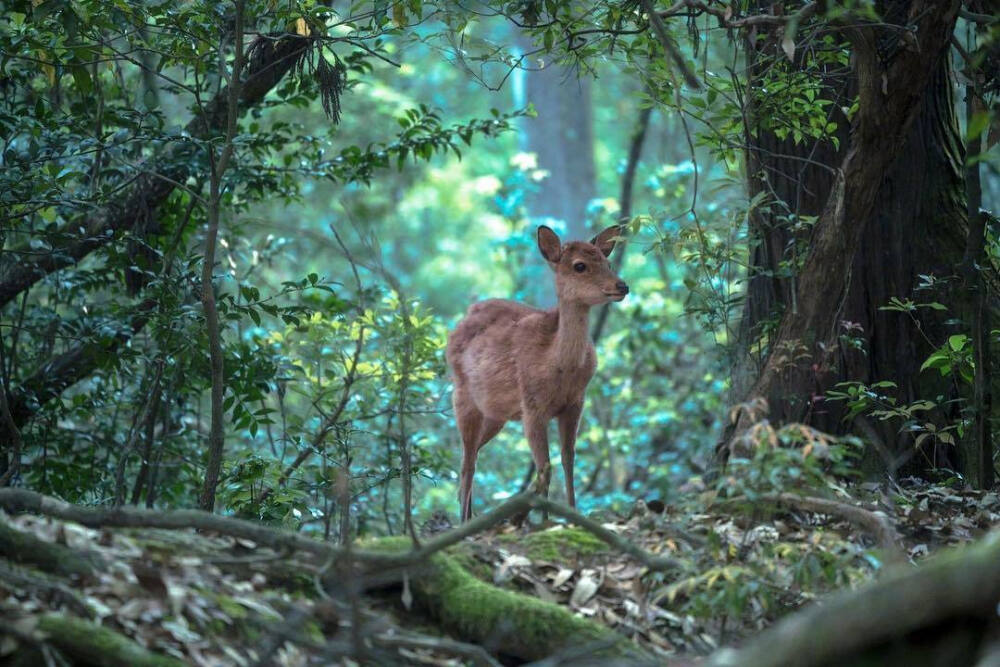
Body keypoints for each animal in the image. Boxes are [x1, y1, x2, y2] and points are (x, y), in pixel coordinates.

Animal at [448, 227, 628, 524]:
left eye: (608, 262)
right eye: (580, 266)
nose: (622, 286)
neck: (559, 365)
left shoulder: (575, 404)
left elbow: (567, 459)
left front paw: (571, 515)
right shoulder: (532, 407)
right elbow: (545, 467)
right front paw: (543, 521)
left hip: (496, 415)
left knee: (471, 455)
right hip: (462, 397)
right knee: (467, 463)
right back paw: (464, 521)